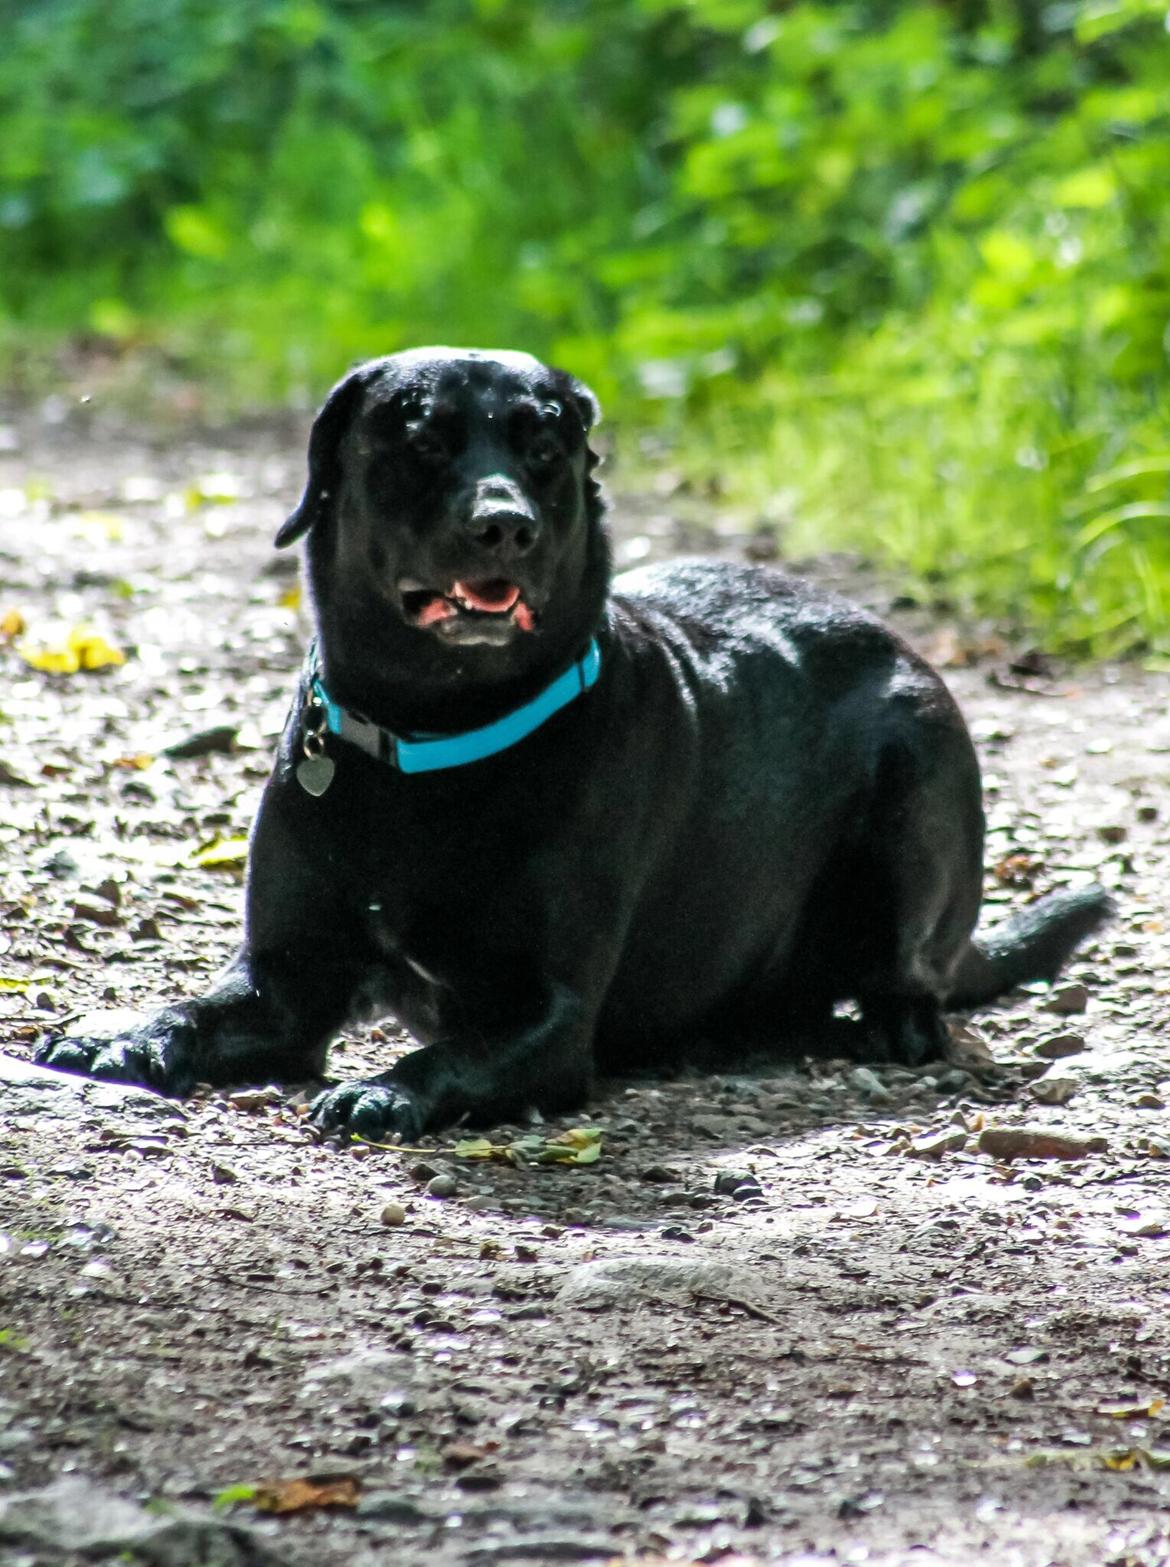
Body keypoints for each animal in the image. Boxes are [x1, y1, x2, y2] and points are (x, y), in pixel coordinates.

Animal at [41, 349, 1115, 1134]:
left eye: (546, 449)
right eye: (422, 440)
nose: (505, 524)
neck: (436, 739)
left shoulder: (547, 1015)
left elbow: (451, 1053)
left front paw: (385, 1088)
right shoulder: (286, 980)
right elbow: (195, 1007)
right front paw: (122, 1035)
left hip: (917, 782)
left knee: (911, 976)